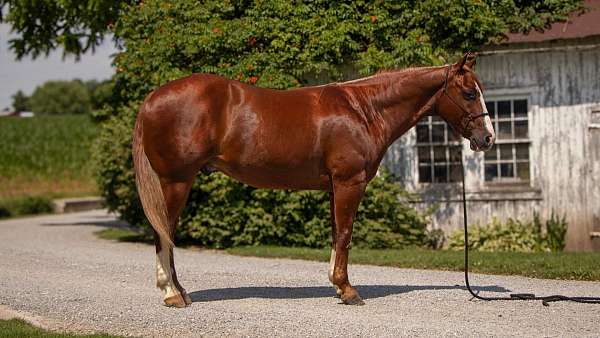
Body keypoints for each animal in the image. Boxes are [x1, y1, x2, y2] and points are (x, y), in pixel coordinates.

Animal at [134, 52, 494, 306]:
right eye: (468, 93)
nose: (487, 138)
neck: (363, 110)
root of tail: (151, 99)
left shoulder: (335, 187)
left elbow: (337, 234)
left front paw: (337, 285)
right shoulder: (350, 182)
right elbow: (346, 234)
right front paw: (348, 291)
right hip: (176, 182)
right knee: (163, 233)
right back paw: (173, 294)